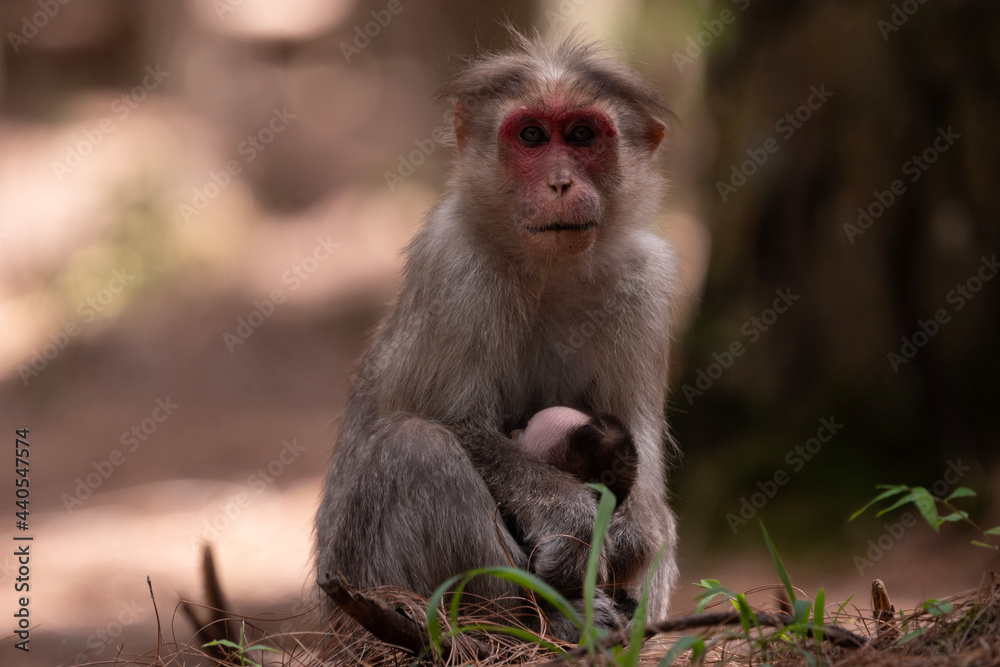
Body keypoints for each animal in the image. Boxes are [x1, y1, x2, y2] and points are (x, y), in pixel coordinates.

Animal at [315, 32, 680, 641]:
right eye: (531, 136)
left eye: (581, 135)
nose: (560, 182)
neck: (548, 269)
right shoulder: (454, 265)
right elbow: (456, 424)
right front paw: (571, 517)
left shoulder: (645, 283)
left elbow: (643, 468)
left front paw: (627, 532)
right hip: (367, 583)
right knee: (417, 448)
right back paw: (546, 623)